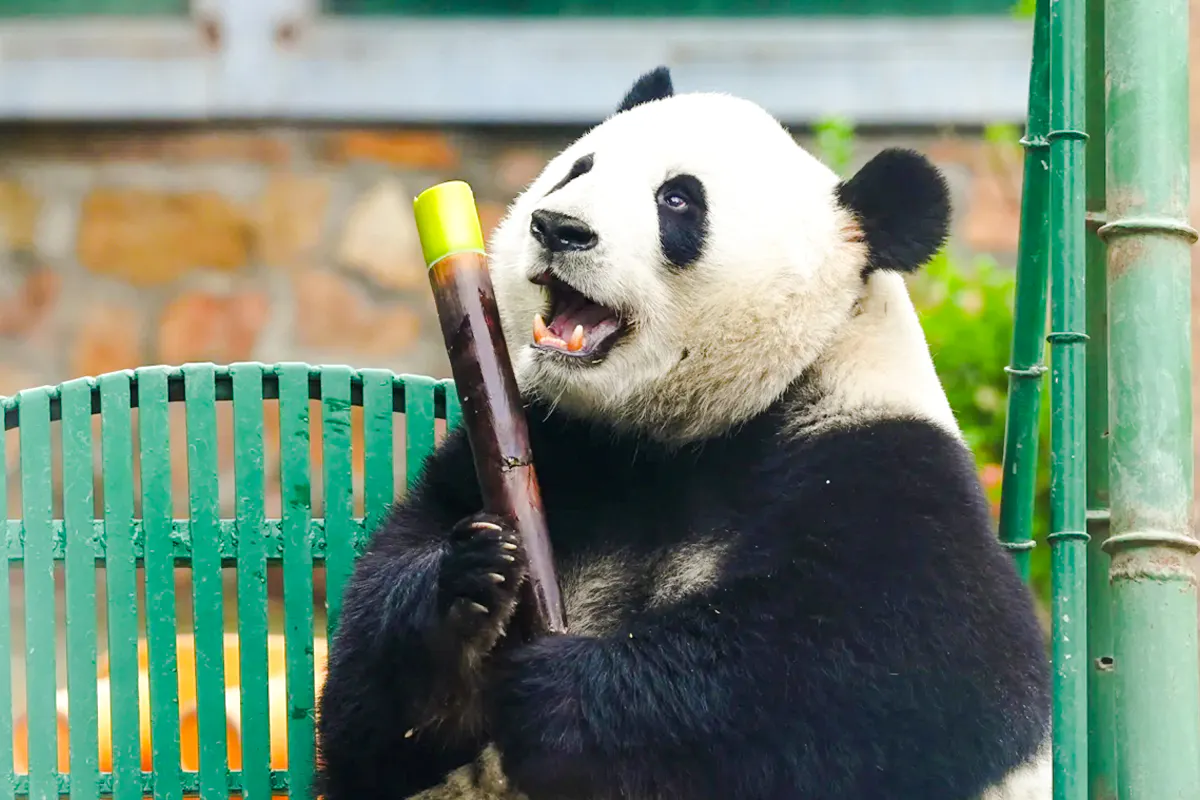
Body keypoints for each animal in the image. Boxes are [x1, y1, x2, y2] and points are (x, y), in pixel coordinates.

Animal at [313, 67, 1052, 800]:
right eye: (578, 168)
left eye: (677, 200)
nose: (558, 227)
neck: (683, 433)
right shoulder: (553, 440)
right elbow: (367, 723)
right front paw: (464, 586)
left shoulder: (881, 464)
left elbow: (911, 669)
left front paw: (564, 697)